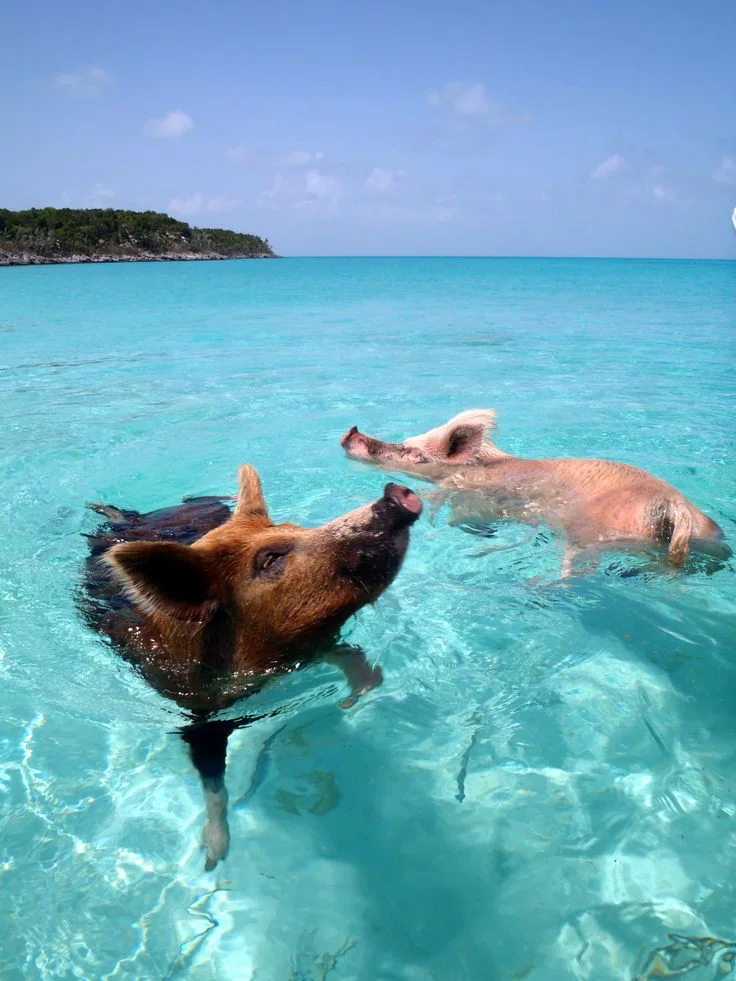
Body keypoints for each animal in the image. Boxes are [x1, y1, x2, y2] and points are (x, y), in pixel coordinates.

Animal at [80, 466, 420, 864]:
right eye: (270, 559)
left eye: (294, 527)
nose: (397, 494)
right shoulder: (198, 714)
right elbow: (213, 781)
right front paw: (214, 857)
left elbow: (348, 656)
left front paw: (356, 695)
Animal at [342, 410, 728, 580]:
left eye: (413, 452)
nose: (351, 432)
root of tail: (675, 508)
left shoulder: (470, 495)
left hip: (587, 531)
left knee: (578, 571)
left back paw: (537, 586)